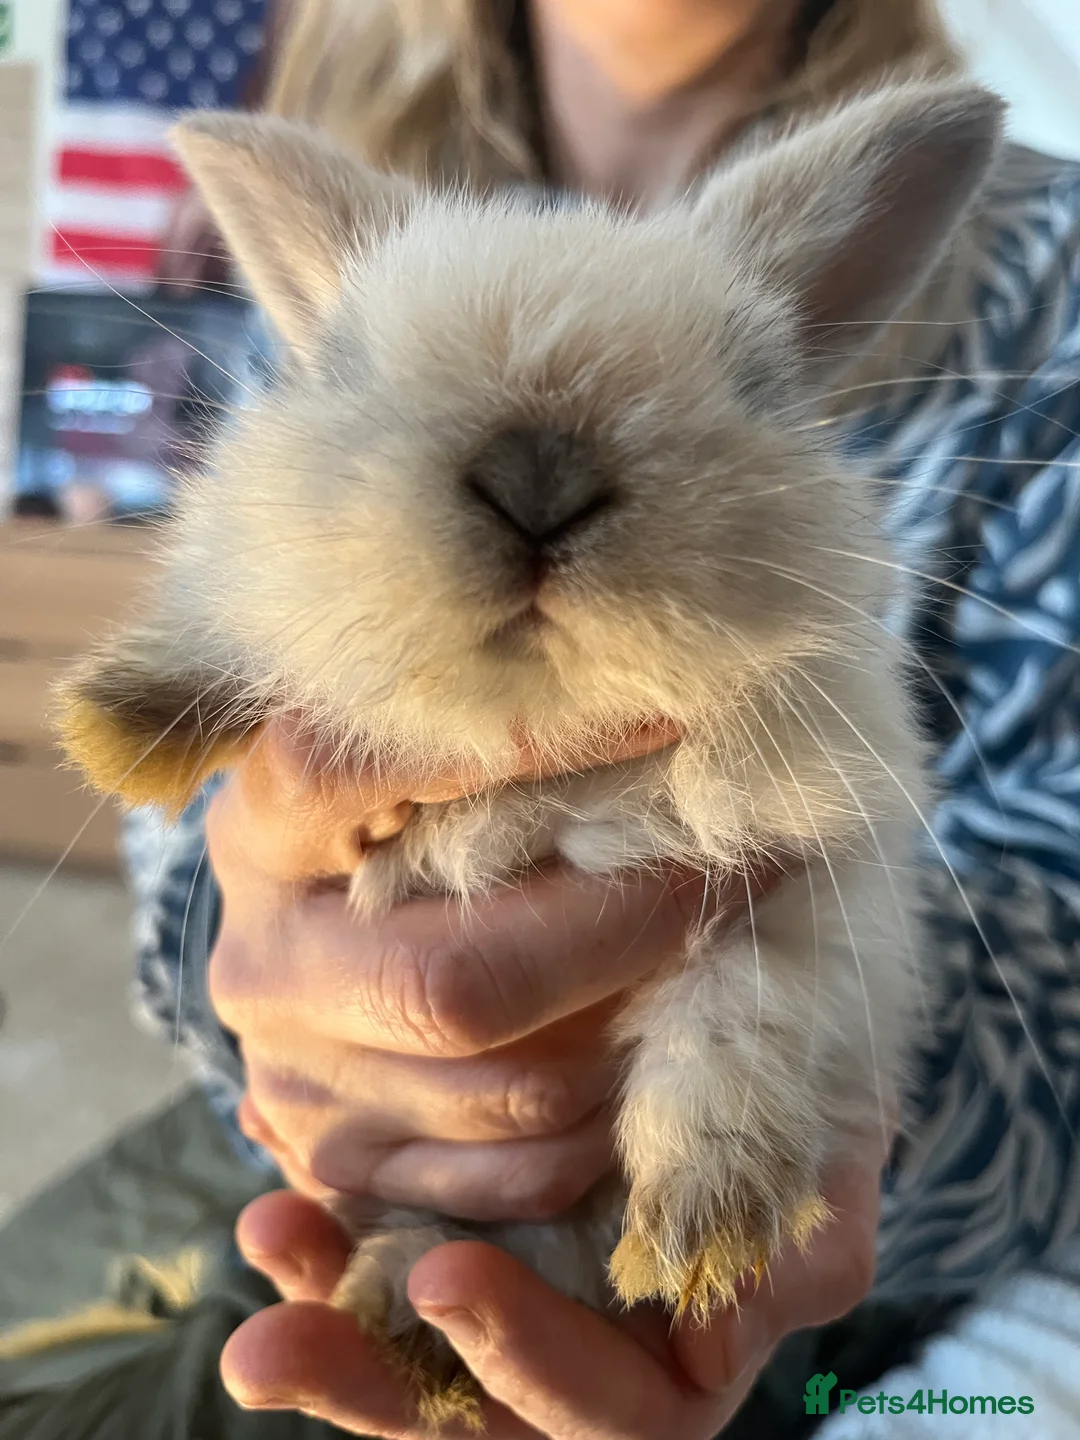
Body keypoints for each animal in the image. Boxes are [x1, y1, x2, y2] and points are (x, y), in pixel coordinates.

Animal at [57, 77, 1004, 1428]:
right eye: (348, 366)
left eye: (751, 379)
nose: (538, 473)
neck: (544, 754)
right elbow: (246, 614)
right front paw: (122, 718)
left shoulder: (810, 900)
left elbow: (736, 1023)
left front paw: (706, 1238)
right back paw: (411, 1322)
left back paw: (430, 1334)